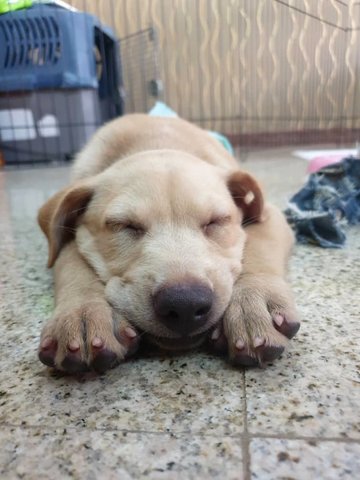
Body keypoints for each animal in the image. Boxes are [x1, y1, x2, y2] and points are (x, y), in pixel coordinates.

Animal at [38, 114, 300, 374]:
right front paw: (84, 312)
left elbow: (259, 246)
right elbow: (69, 260)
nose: (185, 305)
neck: (156, 142)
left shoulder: (269, 215)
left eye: (216, 221)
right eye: (125, 225)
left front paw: (252, 302)